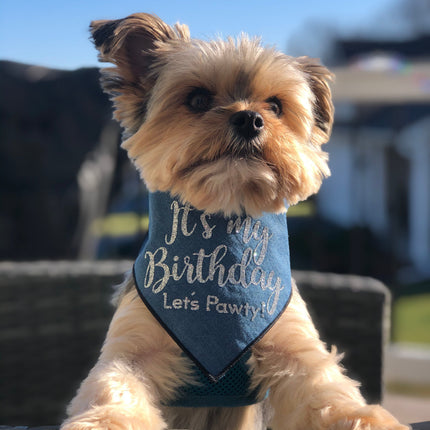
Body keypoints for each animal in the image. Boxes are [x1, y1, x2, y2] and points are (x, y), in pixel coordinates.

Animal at [59, 13, 406, 430]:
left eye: (275, 106)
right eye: (197, 99)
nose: (250, 118)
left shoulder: (292, 344)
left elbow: (326, 391)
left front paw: (364, 418)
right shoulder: (133, 347)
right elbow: (115, 387)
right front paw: (107, 422)